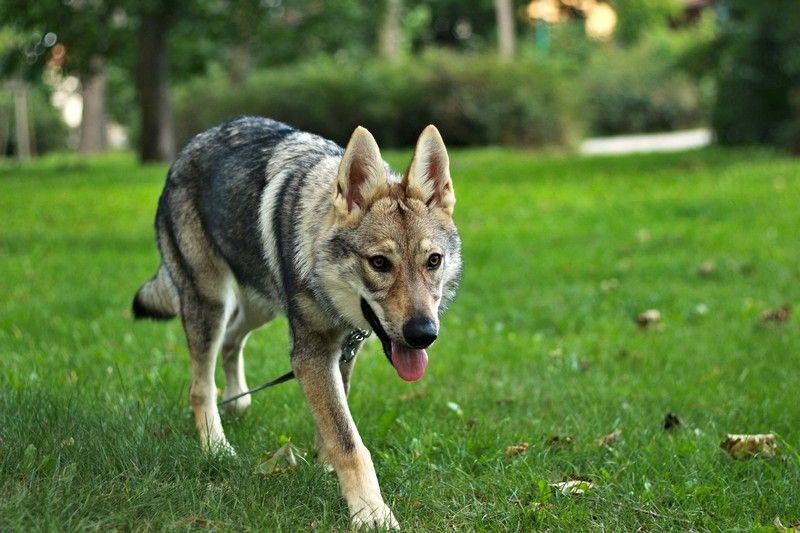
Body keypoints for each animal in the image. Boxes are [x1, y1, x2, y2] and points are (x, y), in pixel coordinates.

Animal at [133, 117, 462, 528]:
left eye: (433, 261)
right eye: (379, 263)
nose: (423, 335)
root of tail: (190, 146)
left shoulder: (343, 349)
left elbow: (335, 424)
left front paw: (325, 470)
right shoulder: (311, 354)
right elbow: (349, 442)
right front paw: (371, 514)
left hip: (260, 304)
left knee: (231, 342)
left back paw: (237, 403)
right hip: (211, 302)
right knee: (199, 386)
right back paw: (217, 447)